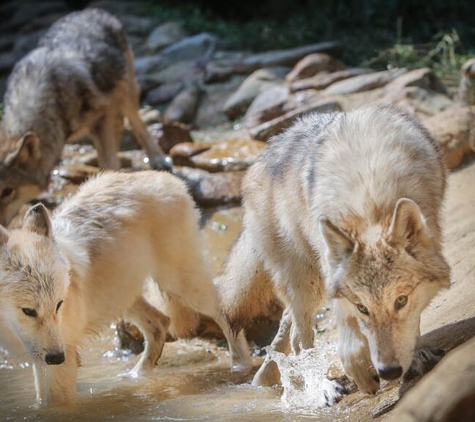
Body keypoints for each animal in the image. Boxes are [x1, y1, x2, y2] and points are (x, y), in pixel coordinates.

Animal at [0, 8, 171, 226]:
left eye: (8, 191)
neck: (53, 98)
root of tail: (90, 10)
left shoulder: (102, 119)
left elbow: (108, 161)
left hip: (127, 93)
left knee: (137, 123)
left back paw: (158, 158)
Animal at [0, 171, 251, 406]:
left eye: (59, 305)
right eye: (28, 311)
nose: (56, 357)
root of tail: (165, 177)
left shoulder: (64, 355)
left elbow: (52, 406)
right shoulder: (41, 356)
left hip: (180, 285)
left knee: (223, 307)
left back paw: (241, 365)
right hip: (122, 297)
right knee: (160, 323)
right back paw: (136, 377)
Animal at [218, 103, 452, 402]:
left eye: (401, 301)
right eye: (363, 307)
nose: (389, 371)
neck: (369, 191)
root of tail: (258, 161)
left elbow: (412, 321)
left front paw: (416, 351)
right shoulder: (337, 280)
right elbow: (349, 338)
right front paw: (361, 371)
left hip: (311, 285)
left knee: (287, 328)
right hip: (307, 282)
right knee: (300, 339)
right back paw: (322, 386)